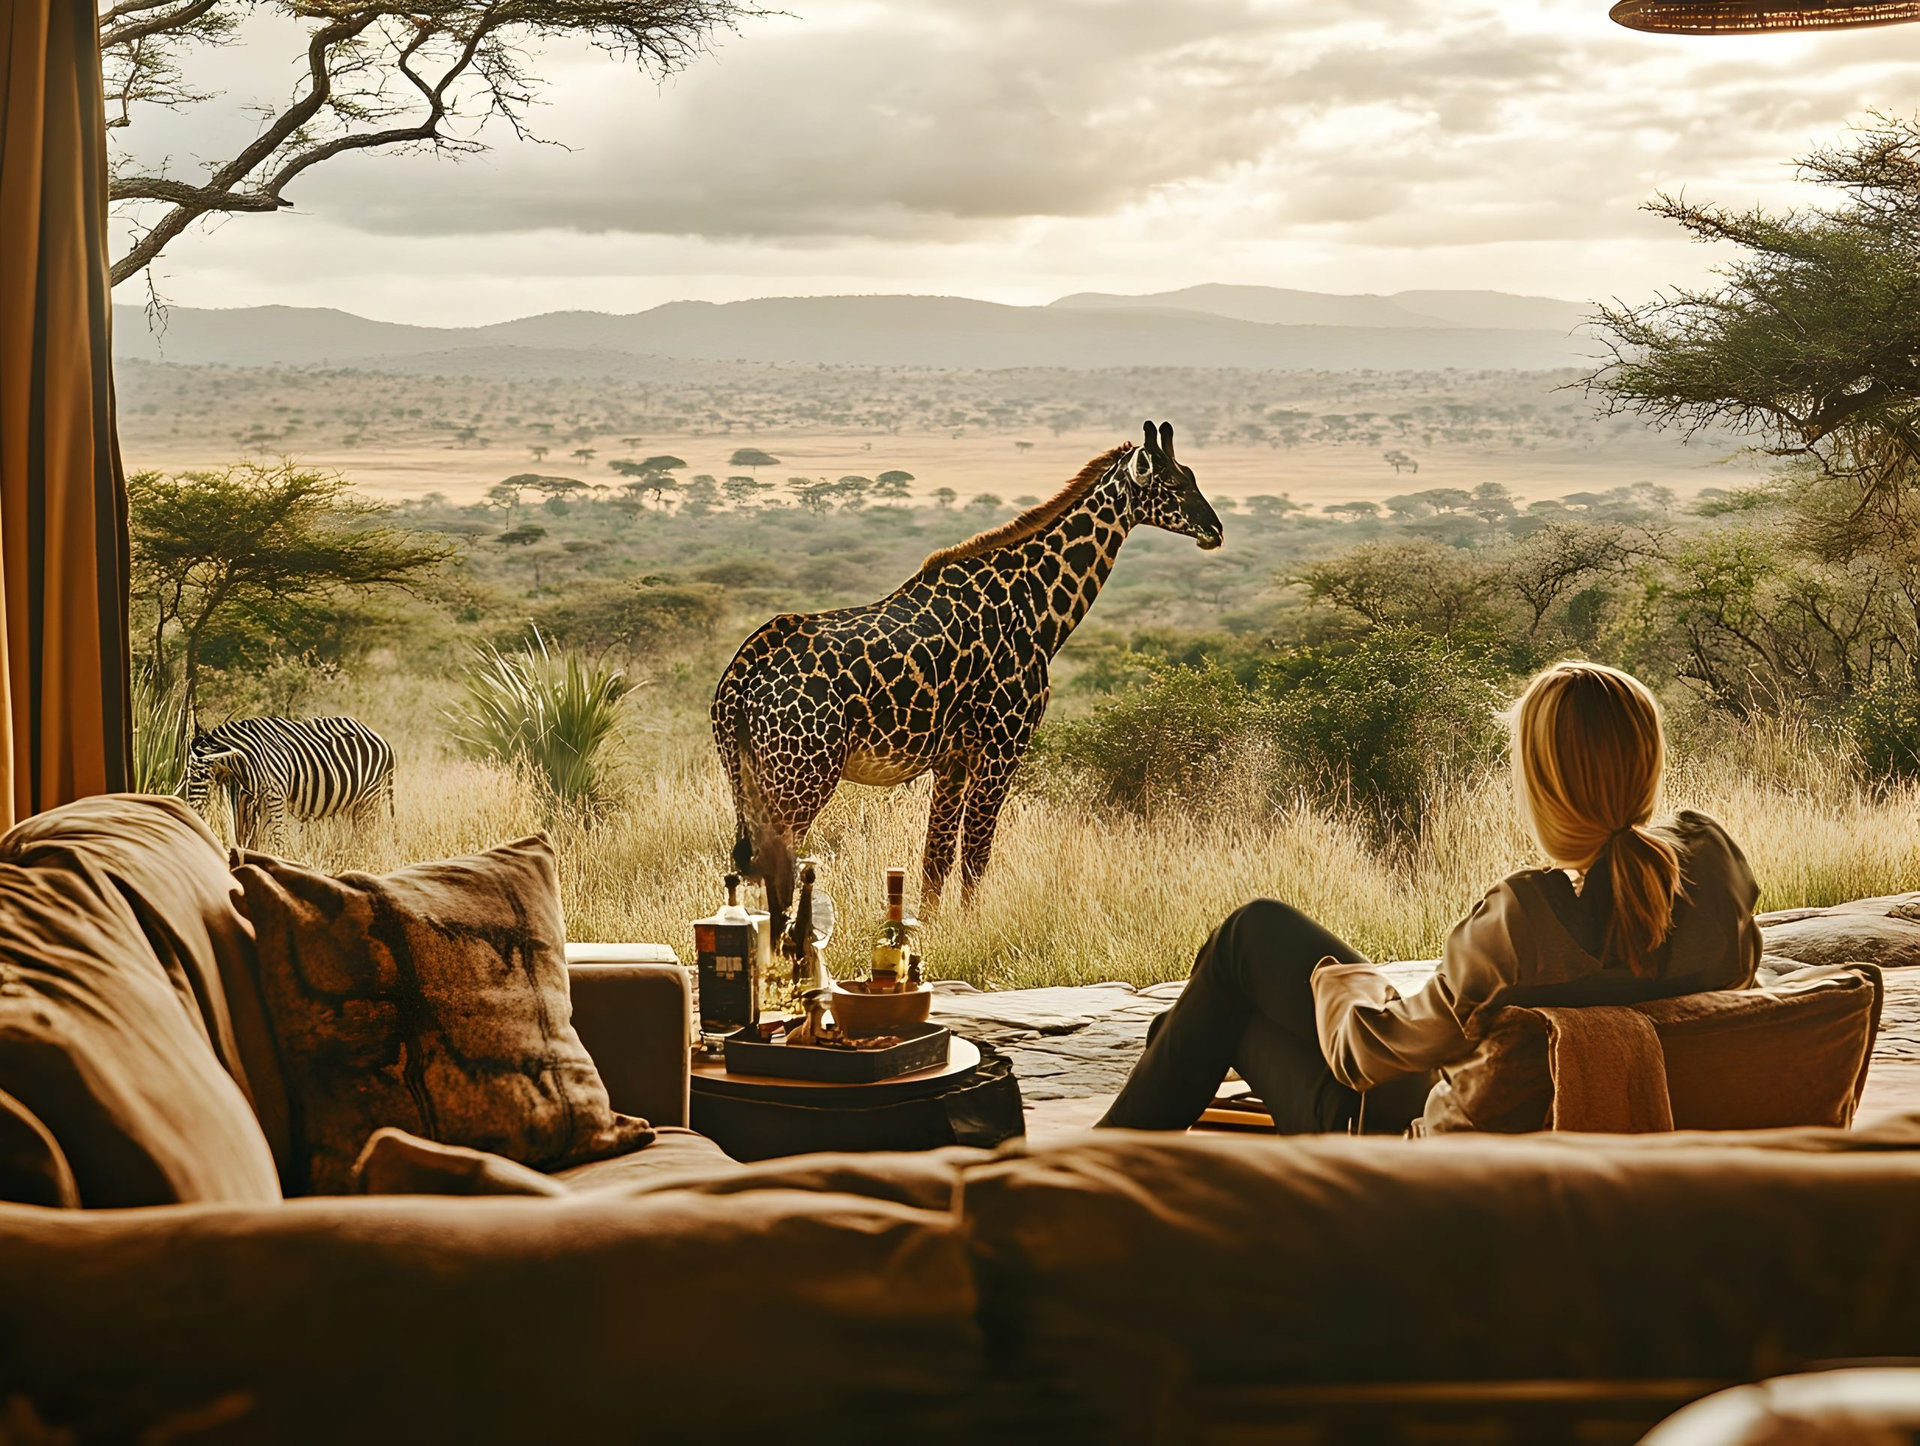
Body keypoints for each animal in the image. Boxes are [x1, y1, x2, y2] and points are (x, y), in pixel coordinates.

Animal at [712, 420, 1223, 924]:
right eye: (1175, 483)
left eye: (1193, 475)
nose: (1215, 530)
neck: (1036, 604)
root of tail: (738, 679)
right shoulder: (1002, 746)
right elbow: (977, 853)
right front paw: (974, 928)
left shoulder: (953, 759)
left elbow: (935, 857)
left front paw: (929, 928)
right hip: (801, 776)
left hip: (752, 780)